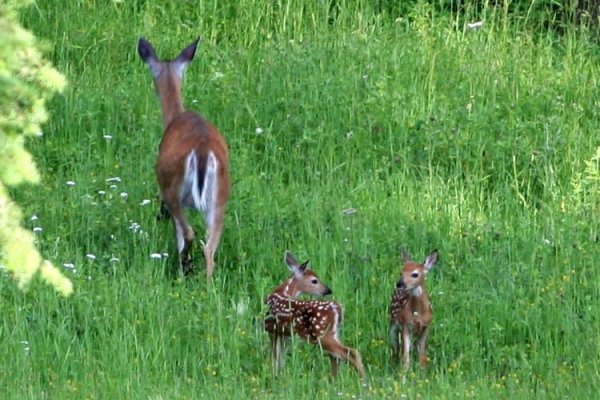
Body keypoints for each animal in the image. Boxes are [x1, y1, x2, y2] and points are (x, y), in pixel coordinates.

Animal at [138, 37, 230, 278]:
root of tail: (203, 152)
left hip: (173, 190)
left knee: (188, 234)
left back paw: (184, 270)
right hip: (220, 198)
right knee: (209, 249)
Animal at [266, 252, 366, 380]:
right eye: (314, 281)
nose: (328, 290)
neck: (283, 293)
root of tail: (338, 308)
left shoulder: (272, 330)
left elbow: (275, 357)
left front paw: (274, 375)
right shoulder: (284, 335)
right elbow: (280, 358)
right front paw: (278, 375)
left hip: (323, 335)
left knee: (350, 353)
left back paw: (364, 381)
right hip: (334, 334)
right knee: (336, 357)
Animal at [390, 250, 440, 378]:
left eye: (415, 274)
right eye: (401, 272)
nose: (399, 283)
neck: (419, 313)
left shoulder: (427, 326)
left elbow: (423, 357)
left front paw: (423, 377)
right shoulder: (405, 325)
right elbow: (405, 357)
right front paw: (402, 378)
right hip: (393, 325)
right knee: (395, 348)